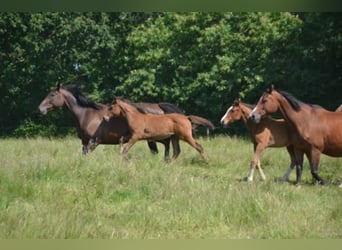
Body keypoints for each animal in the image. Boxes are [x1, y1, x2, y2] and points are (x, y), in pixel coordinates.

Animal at [38, 83, 184, 159]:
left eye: (52, 94)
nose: (40, 108)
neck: (87, 115)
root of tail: (159, 106)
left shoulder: (94, 140)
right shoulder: (84, 141)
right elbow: (84, 155)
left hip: (154, 137)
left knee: (166, 144)